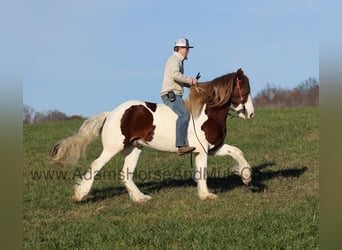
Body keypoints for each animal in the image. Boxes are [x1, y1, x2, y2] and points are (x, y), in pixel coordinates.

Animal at [50, 67, 254, 202]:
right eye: (244, 89)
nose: (251, 114)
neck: (206, 113)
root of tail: (111, 113)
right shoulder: (203, 150)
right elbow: (203, 172)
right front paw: (206, 195)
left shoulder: (213, 148)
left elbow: (237, 151)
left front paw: (246, 177)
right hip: (113, 147)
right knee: (96, 166)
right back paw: (79, 195)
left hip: (134, 148)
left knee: (126, 174)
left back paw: (140, 198)